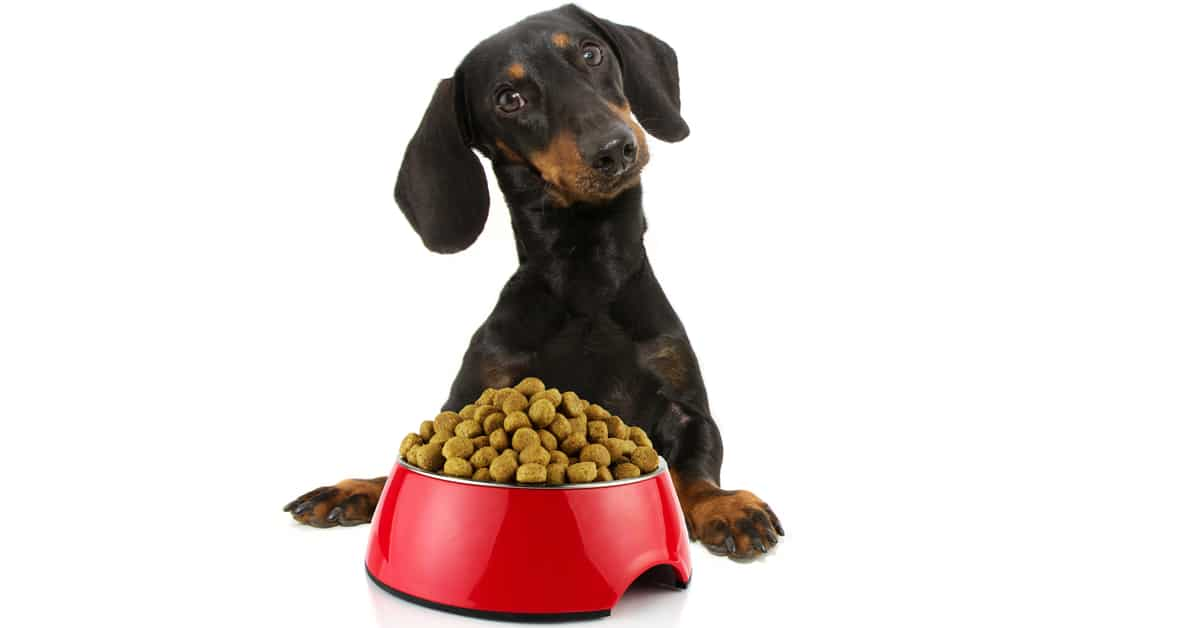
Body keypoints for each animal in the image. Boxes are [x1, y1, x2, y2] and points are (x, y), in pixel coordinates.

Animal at [284, 4, 783, 559]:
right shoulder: (467, 401)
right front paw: (360, 488)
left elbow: (695, 467)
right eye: (509, 98)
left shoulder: (688, 410)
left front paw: (725, 506)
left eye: (591, 52)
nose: (615, 149)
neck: (586, 280)